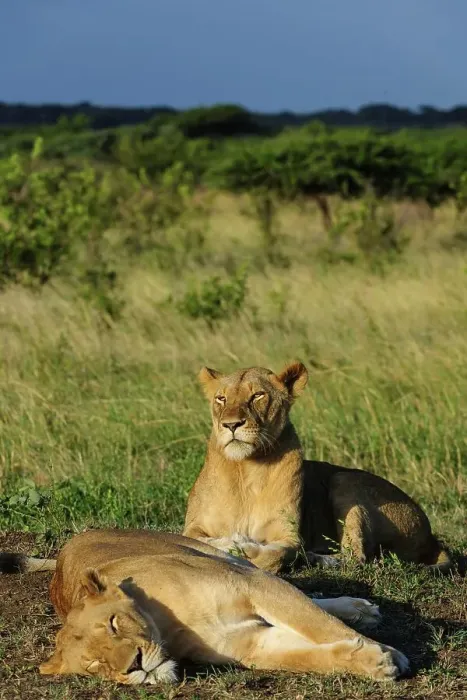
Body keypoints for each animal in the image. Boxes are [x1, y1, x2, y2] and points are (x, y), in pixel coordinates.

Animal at [0, 529, 410, 684]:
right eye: (95, 666)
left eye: (114, 624)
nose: (134, 666)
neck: (167, 627)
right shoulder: (249, 645)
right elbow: (310, 657)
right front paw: (371, 662)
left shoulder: (251, 586)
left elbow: (321, 626)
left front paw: (389, 653)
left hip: (228, 559)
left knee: (301, 593)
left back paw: (359, 608)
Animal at [183, 362, 452, 575]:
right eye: (221, 398)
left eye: (257, 395)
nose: (231, 425)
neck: (247, 468)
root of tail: (430, 535)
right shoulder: (193, 526)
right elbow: (200, 541)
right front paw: (233, 543)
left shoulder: (290, 536)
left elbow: (275, 556)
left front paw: (245, 548)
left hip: (344, 480)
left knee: (356, 556)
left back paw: (316, 558)